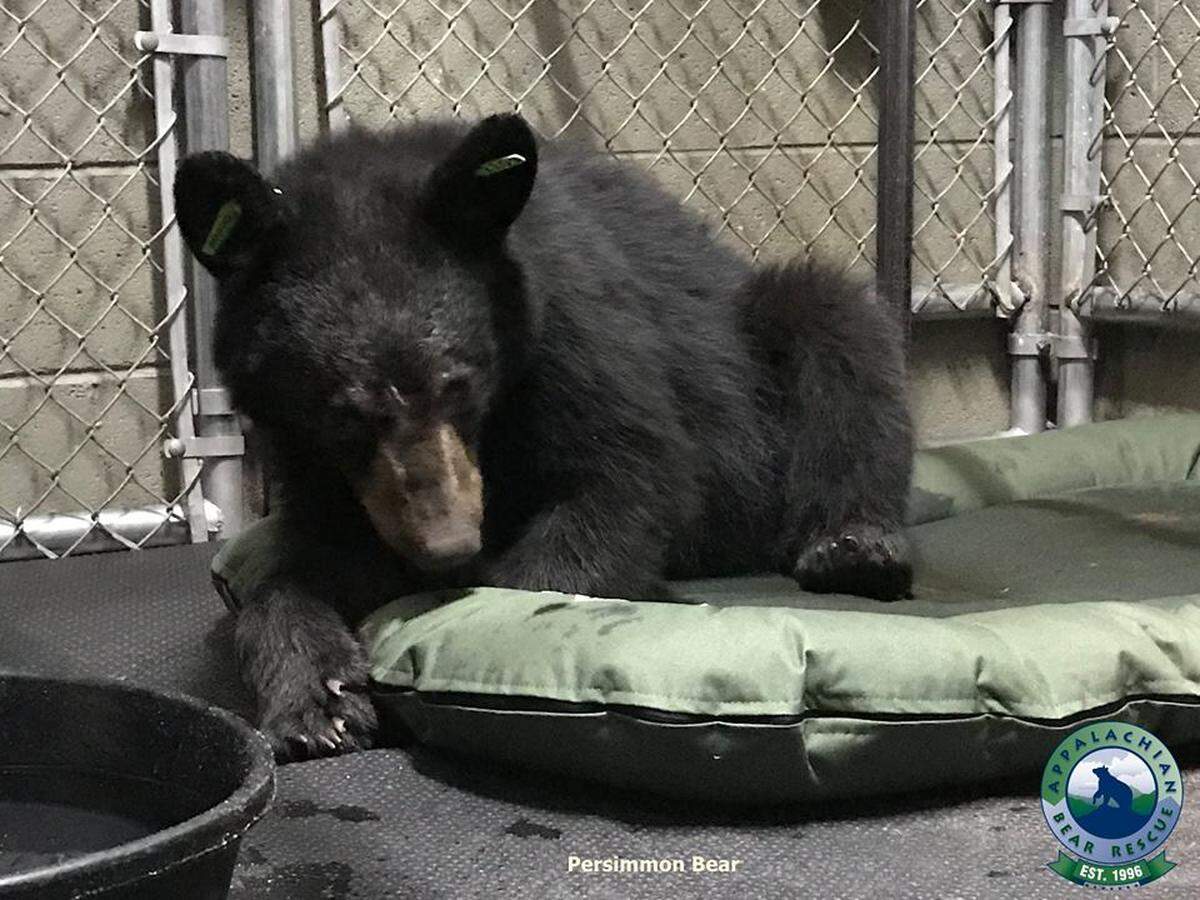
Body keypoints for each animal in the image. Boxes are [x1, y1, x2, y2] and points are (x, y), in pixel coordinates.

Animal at [174, 114, 913, 759]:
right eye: (343, 413)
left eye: (460, 383)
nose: (446, 548)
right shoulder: (315, 461)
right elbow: (304, 567)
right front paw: (319, 703)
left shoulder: (575, 331)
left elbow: (628, 476)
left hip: (767, 353)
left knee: (836, 331)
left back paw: (851, 547)